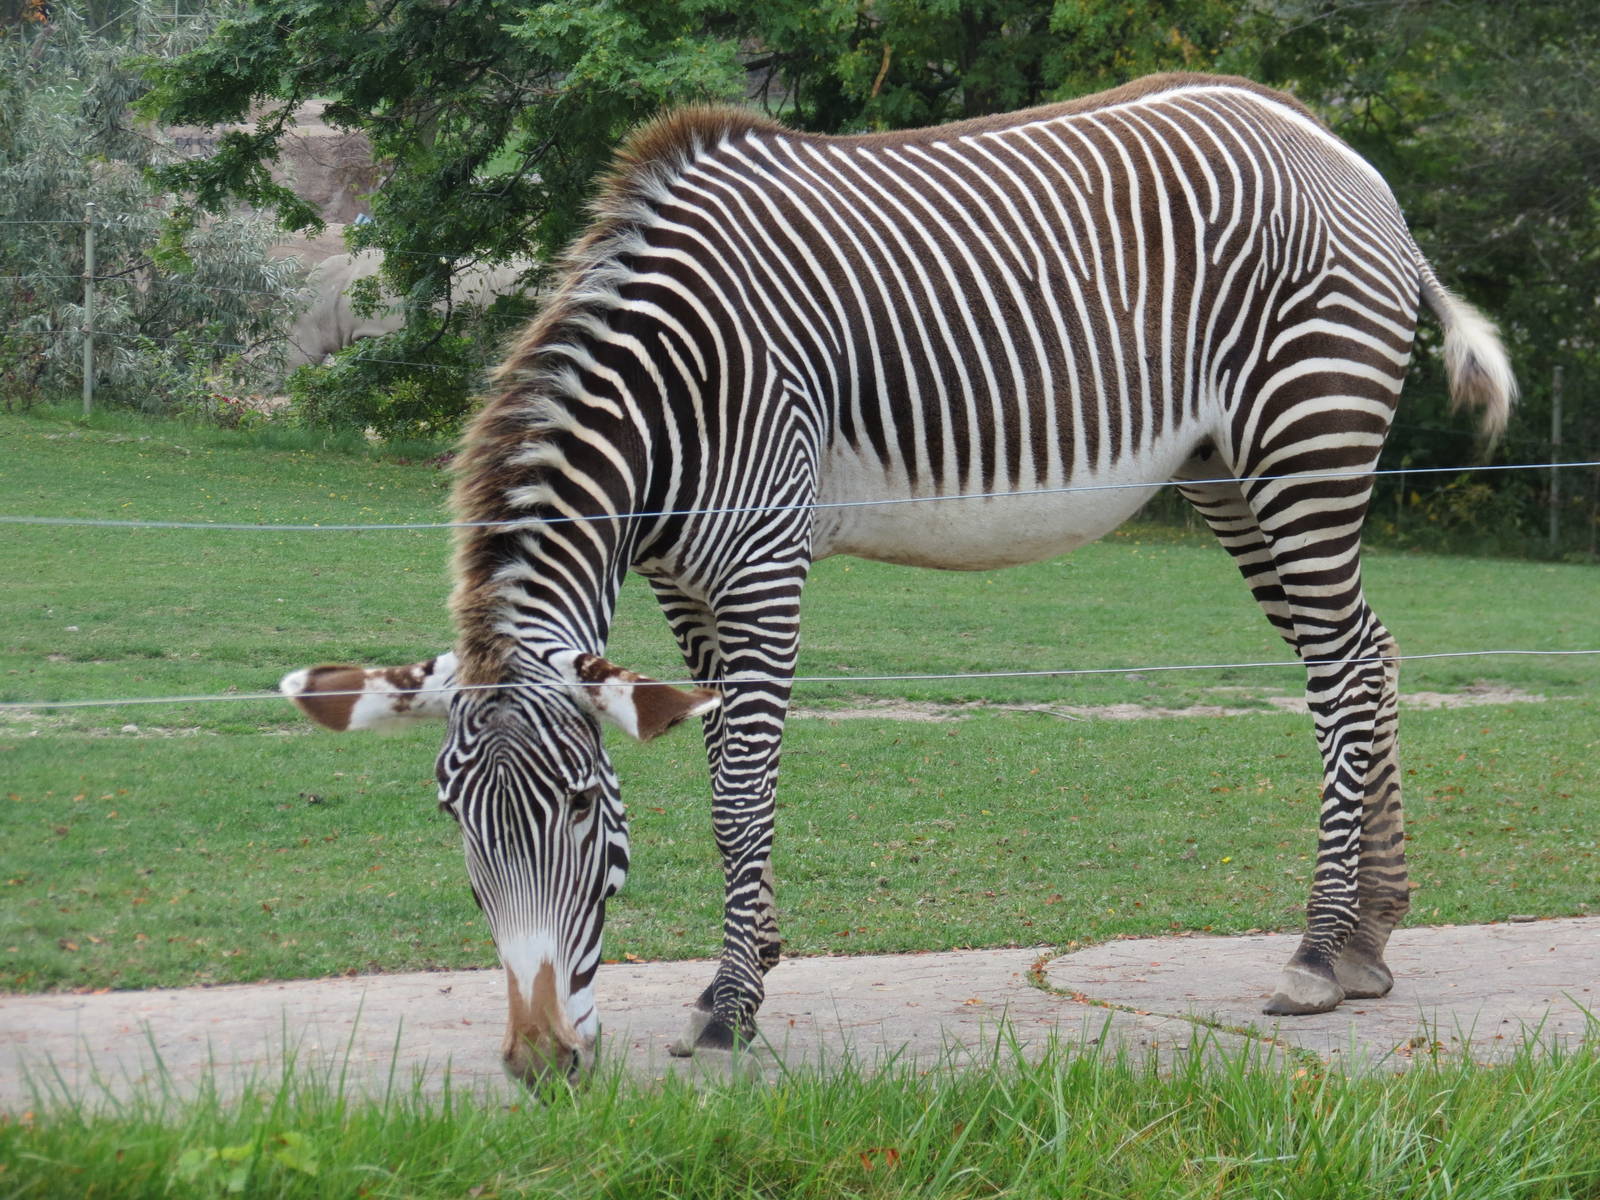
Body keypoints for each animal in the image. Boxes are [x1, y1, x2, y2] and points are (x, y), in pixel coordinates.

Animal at [281, 72, 1514, 1085]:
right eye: (455, 820)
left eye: (584, 806)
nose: (540, 1064)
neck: (668, 391)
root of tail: (1335, 146)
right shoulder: (685, 583)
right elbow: (723, 758)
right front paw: (749, 960)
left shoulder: (763, 562)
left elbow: (741, 790)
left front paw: (731, 1006)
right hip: (1226, 472)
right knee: (1362, 653)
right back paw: (1368, 943)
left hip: (1303, 439)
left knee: (1341, 673)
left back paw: (1315, 951)